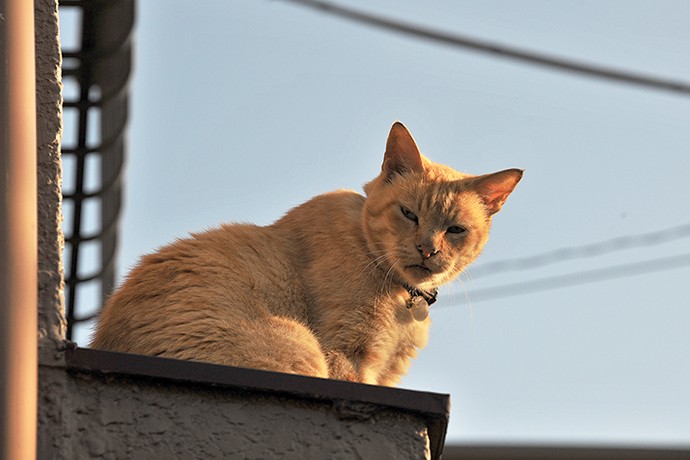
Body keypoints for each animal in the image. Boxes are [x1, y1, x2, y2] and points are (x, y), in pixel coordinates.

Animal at [92, 122, 520, 384]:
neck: (402, 298)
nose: (427, 248)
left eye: (455, 230)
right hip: (299, 346)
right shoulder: (347, 354)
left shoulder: (384, 371)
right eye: (409, 214)